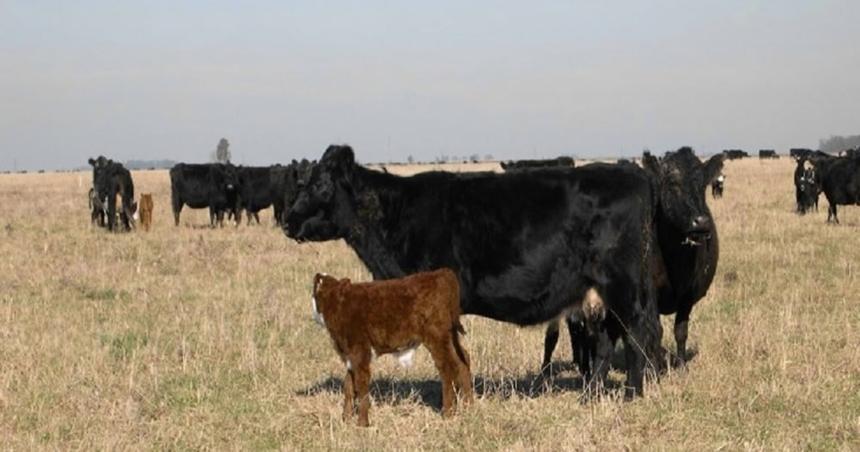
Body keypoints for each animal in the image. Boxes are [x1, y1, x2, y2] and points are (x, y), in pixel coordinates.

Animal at [288, 144, 664, 396]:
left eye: (320, 186)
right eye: (302, 182)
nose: (288, 220)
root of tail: (634, 174)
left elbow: (448, 357)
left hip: (621, 284)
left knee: (635, 331)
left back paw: (632, 393)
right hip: (599, 291)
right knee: (607, 338)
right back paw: (591, 395)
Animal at [310, 268, 474, 428]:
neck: (339, 304)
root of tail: (443, 273)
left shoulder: (360, 351)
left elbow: (361, 384)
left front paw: (362, 423)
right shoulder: (349, 355)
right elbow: (349, 386)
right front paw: (346, 418)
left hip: (437, 337)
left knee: (447, 368)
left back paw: (448, 413)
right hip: (451, 335)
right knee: (463, 360)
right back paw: (468, 406)